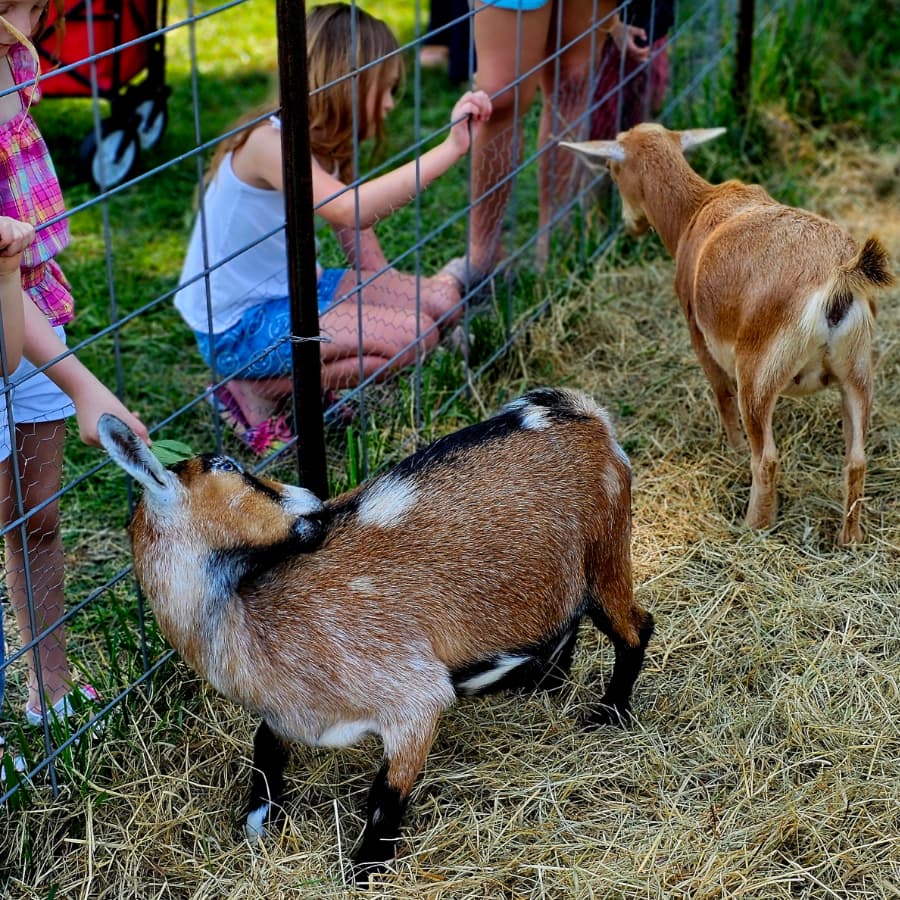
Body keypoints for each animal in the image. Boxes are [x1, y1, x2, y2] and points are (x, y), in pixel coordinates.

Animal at [97, 387, 654, 886]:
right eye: (229, 467)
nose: (315, 503)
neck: (253, 624)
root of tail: (581, 413)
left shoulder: (414, 698)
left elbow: (384, 798)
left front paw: (364, 871)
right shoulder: (288, 713)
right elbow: (265, 744)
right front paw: (259, 820)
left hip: (605, 548)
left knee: (635, 626)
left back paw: (609, 713)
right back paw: (546, 680)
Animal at [562, 124, 894, 544]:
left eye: (610, 168)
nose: (630, 226)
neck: (695, 211)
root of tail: (840, 279)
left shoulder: (698, 333)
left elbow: (721, 393)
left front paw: (732, 449)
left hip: (759, 373)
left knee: (766, 457)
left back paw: (753, 526)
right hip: (858, 372)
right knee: (856, 461)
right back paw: (849, 539)